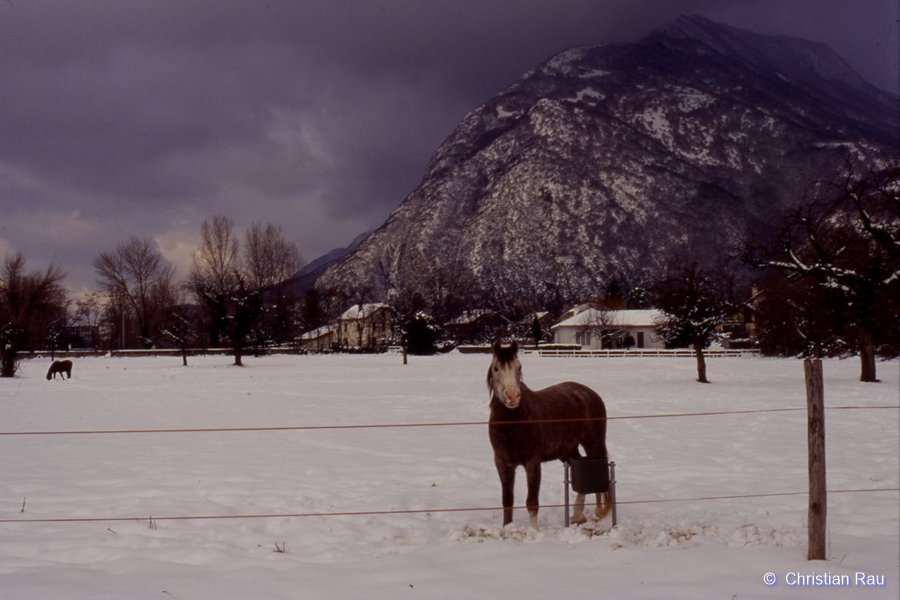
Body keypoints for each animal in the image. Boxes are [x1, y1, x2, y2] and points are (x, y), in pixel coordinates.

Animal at [488, 340, 608, 528]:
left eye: (519, 367)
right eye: (496, 368)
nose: (512, 396)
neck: (512, 423)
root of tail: (589, 393)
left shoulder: (532, 462)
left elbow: (532, 502)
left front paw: (534, 531)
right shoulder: (502, 463)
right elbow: (507, 500)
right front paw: (507, 528)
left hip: (594, 443)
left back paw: (598, 512)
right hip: (567, 451)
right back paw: (577, 515)